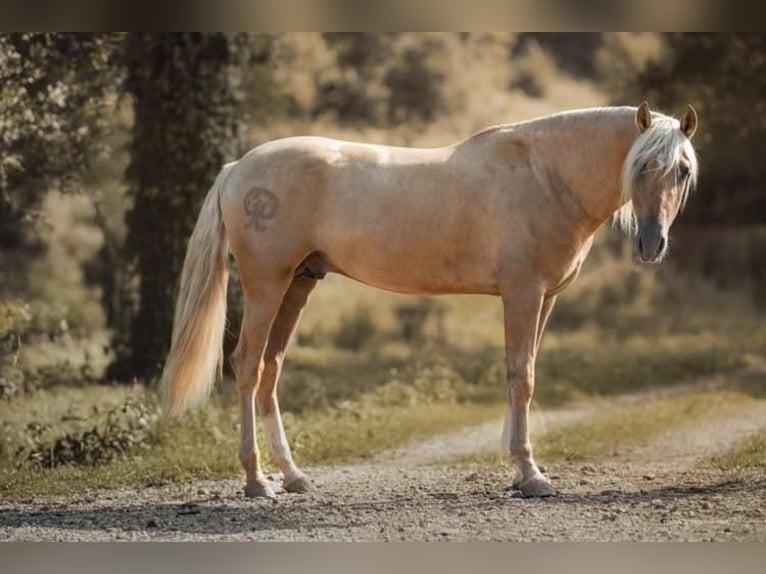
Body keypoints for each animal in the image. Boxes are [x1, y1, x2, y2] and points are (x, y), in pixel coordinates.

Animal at [160, 103, 704, 500]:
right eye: (642, 165)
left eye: (681, 170)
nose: (651, 244)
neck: (546, 173)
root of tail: (237, 168)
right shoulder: (523, 294)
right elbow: (521, 377)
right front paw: (529, 474)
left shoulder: (544, 299)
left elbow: (523, 374)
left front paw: (519, 468)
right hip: (266, 284)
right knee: (247, 365)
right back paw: (256, 481)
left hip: (298, 283)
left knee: (270, 368)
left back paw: (293, 476)